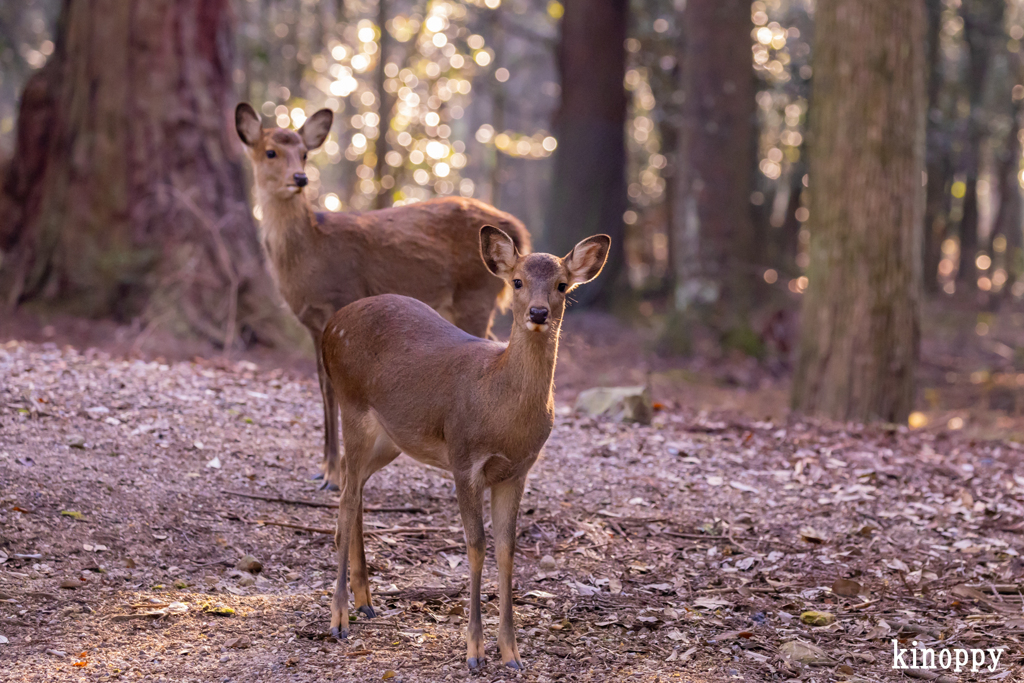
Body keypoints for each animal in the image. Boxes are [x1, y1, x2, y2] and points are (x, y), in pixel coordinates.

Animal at [235, 104, 532, 483]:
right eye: (270, 151)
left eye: (303, 153)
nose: (299, 178)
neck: (311, 254)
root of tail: (519, 231)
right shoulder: (313, 322)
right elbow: (322, 386)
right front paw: (323, 469)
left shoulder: (342, 299)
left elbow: (333, 387)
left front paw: (334, 472)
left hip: (475, 294)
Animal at [321, 227, 606, 671]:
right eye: (517, 281)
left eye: (562, 285)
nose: (539, 313)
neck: (500, 411)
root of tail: (328, 327)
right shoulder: (464, 458)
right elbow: (476, 546)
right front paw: (474, 651)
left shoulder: (517, 471)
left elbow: (507, 549)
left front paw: (511, 652)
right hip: (352, 406)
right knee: (346, 501)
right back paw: (339, 618)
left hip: (390, 439)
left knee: (357, 491)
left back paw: (366, 601)